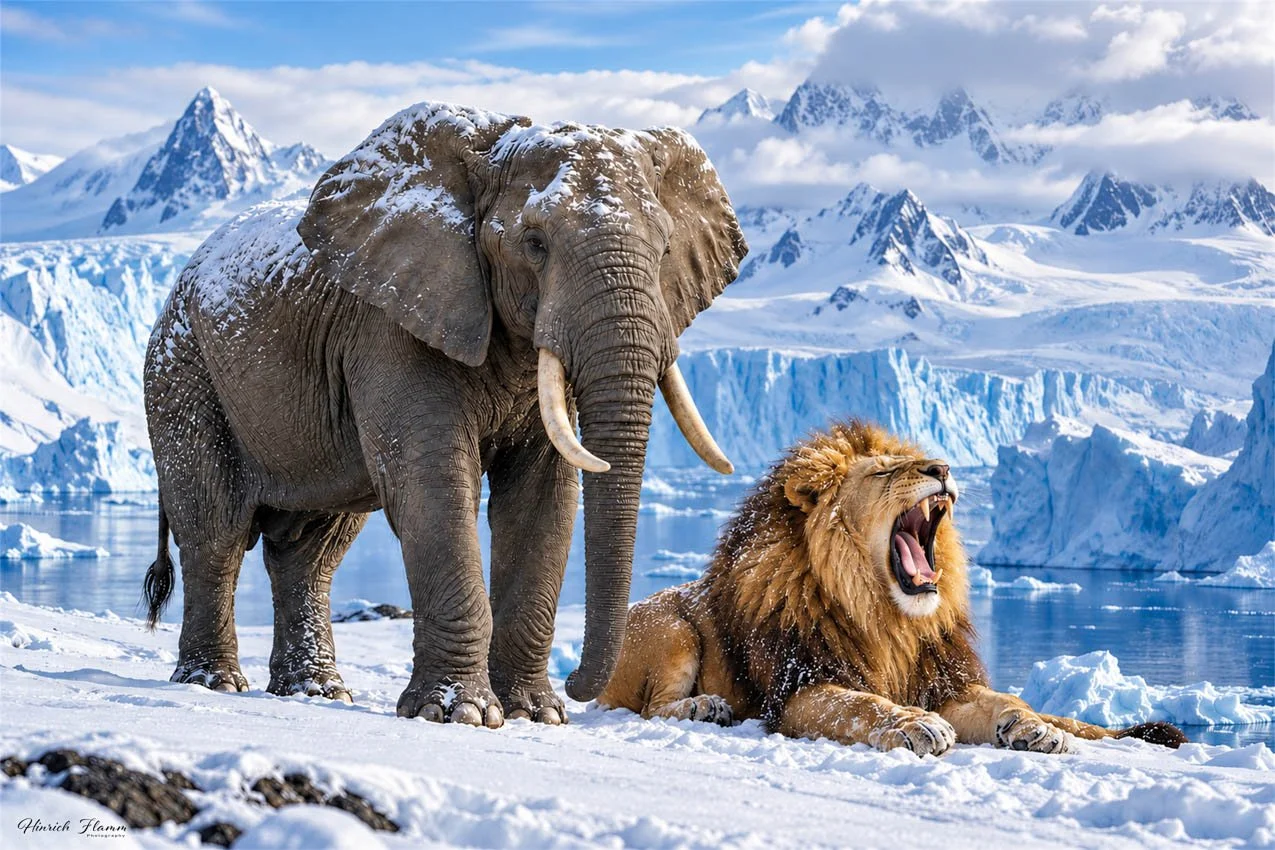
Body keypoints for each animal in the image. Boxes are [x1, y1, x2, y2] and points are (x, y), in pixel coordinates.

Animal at [141, 101, 748, 728]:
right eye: (534, 243)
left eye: (666, 249)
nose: (578, 685)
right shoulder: (391, 323)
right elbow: (431, 482)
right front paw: (462, 714)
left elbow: (544, 497)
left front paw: (534, 714)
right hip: (182, 376)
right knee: (216, 531)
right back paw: (215, 683)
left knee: (311, 550)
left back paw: (318, 693)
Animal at [599, 421, 1187, 755]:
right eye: (884, 473)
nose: (943, 467)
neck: (887, 618)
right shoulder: (801, 686)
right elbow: (859, 704)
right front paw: (915, 726)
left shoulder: (940, 679)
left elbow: (1004, 700)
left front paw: (1034, 727)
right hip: (670, 628)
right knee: (650, 706)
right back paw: (704, 708)